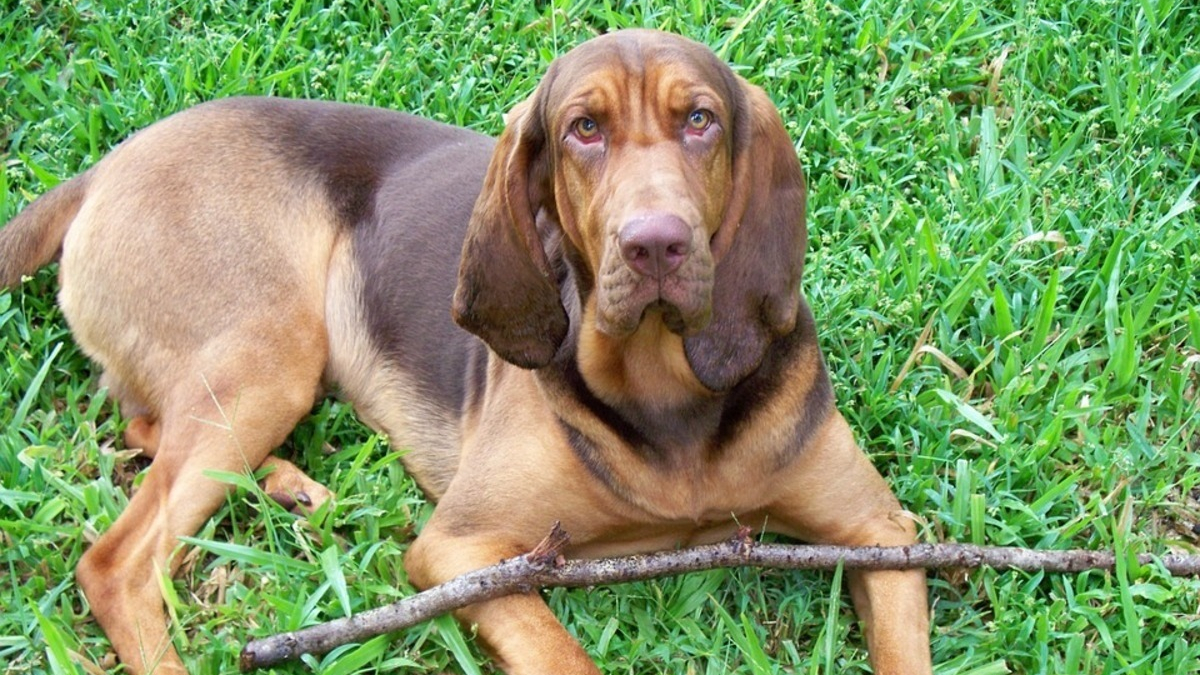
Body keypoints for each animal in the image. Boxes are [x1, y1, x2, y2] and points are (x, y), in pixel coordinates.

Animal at [0, 27, 931, 672]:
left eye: (699, 119)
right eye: (583, 129)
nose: (656, 244)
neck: (666, 396)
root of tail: (105, 167)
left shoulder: (884, 534)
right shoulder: (462, 549)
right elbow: (565, 655)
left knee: (142, 426)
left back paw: (290, 487)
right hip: (269, 355)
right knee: (116, 562)